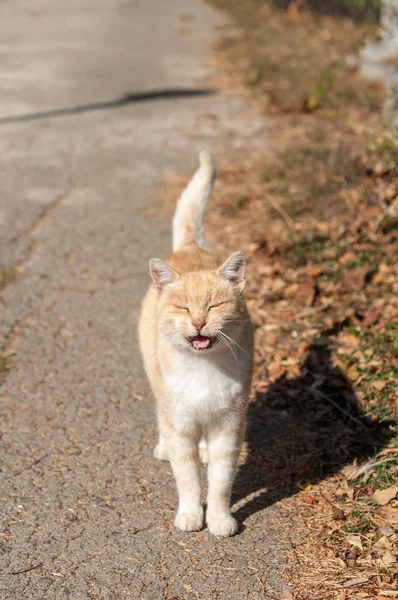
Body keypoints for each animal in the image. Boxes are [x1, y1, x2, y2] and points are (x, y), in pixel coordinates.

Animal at [138, 152, 253, 536]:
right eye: (184, 308)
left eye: (214, 306)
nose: (199, 322)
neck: (204, 369)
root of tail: (190, 248)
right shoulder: (181, 426)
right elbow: (187, 478)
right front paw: (190, 515)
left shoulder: (229, 428)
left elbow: (220, 481)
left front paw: (219, 519)